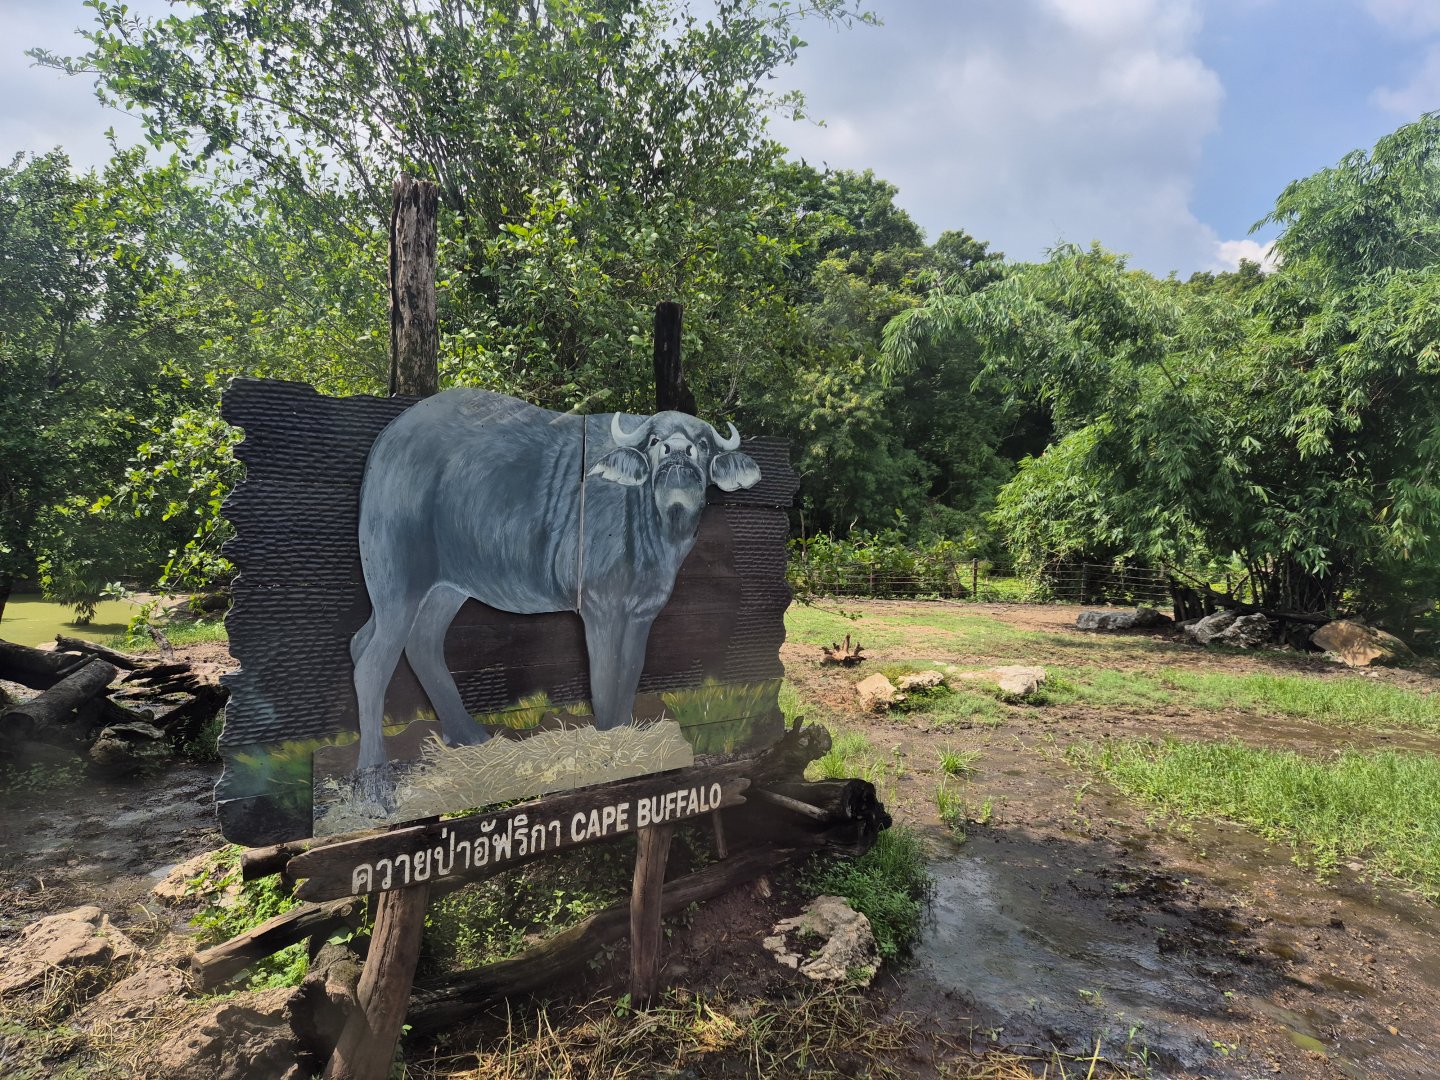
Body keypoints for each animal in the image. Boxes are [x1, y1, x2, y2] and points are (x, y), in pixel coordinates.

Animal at [349, 388, 761, 775]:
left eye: (703, 443)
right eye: (654, 440)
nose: (678, 451)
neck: (657, 526)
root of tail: (386, 441)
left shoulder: (643, 611)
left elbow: (630, 671)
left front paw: (624, 734)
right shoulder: (601, 607)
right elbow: (605, 677)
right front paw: (608, 741)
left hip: (447, 588)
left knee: (412, 644)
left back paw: (467, 735)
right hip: (395, 581)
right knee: (371, 660)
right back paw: (373, 770)